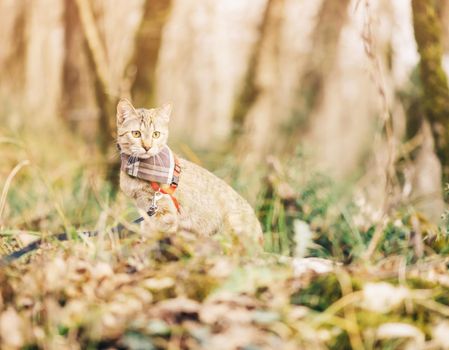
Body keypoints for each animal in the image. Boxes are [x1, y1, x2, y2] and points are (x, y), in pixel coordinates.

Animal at [116, 97, 262, 247]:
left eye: (156, 134)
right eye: (136, 134)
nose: (147, 147)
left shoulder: (164, 214)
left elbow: (154, 236)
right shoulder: (146, 210)